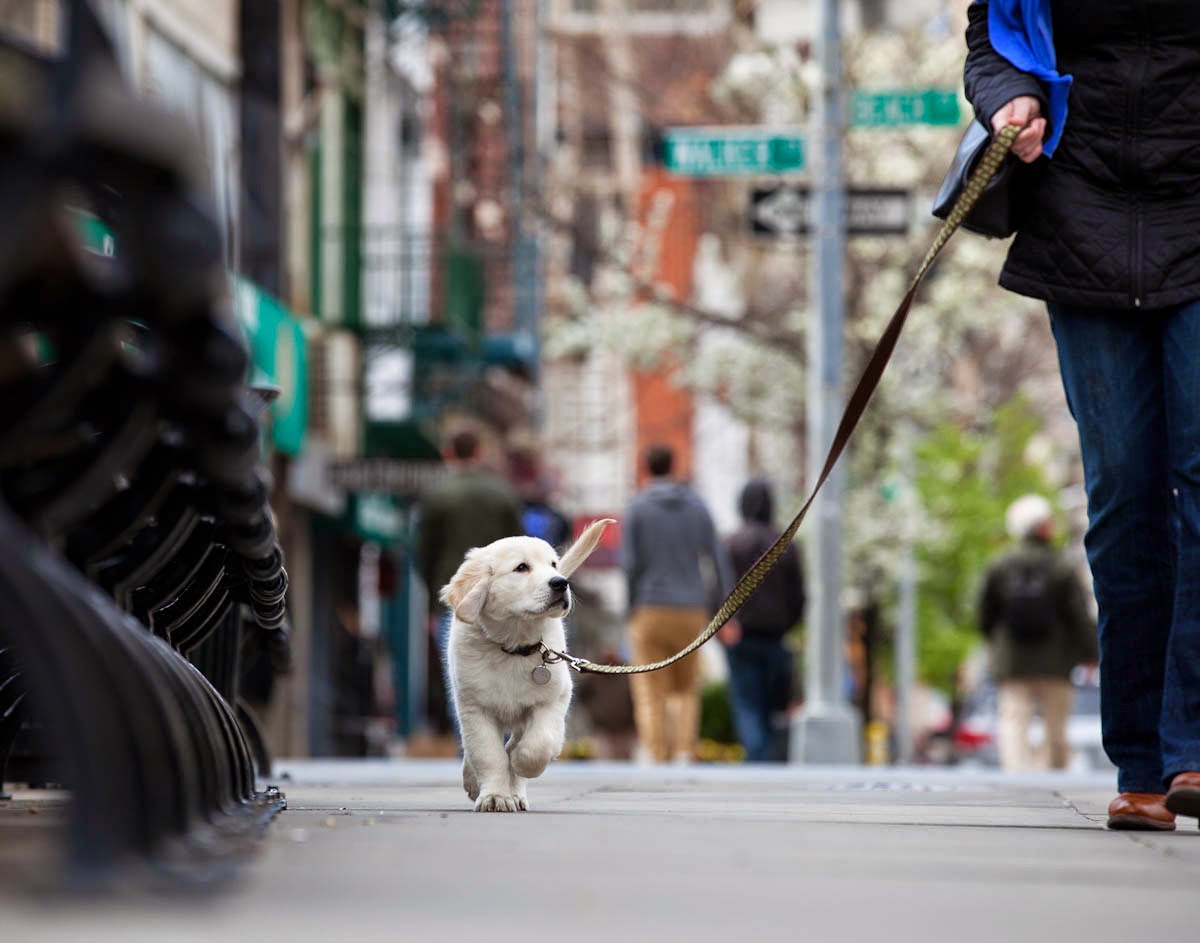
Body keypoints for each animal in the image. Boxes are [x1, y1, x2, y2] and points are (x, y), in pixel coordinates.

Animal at [439, 513, 614, 806]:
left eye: (553, 564)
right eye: (521, 568)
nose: (560, 582)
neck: (514, 644)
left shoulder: (553, 699)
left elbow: (538, 744)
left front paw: (521, 764)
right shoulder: (474, 707)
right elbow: (488, 754)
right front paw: (494, 796)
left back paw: (516, 787)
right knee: (474, 749)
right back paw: (474, 781)